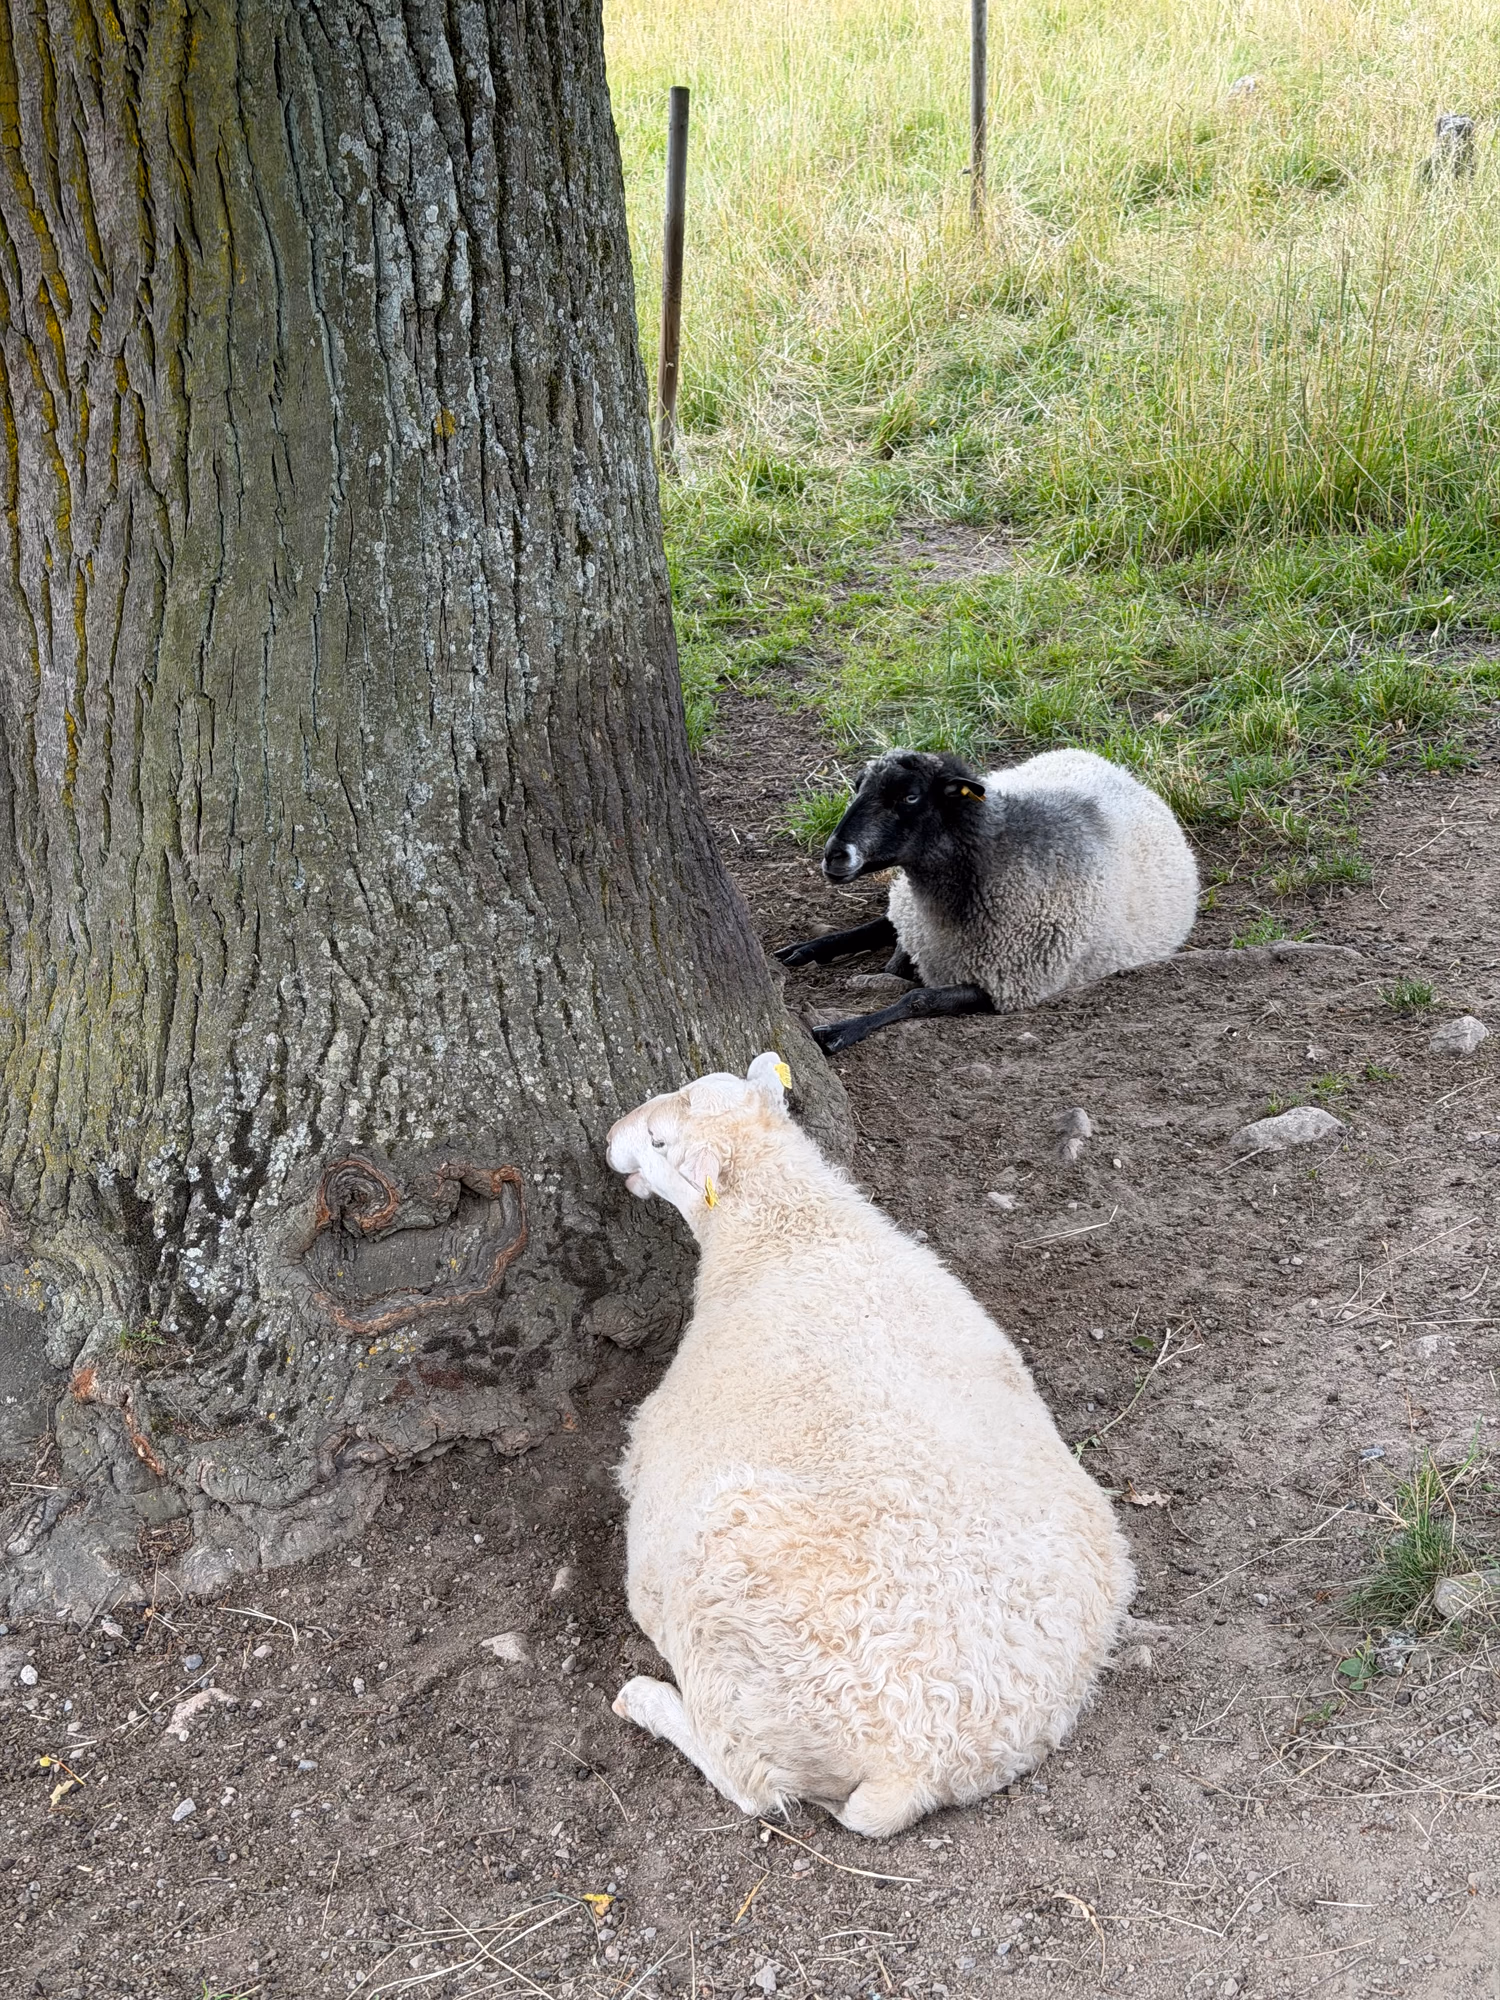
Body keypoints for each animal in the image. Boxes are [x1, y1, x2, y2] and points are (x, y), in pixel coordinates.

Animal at [606, 1051, 1135, 1838]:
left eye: (661, 1141)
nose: (611, 1135)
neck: (794, 1230)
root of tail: (924, 1764)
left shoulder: (656, 1436)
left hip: (727, 1616)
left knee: (751, 1781)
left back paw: (646, 1700)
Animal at [777, 747, 1198, 1054]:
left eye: (910, 797)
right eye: (857, 788)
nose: (834, 854)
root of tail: (1113, 767)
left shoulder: (1006, 983)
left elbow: (918, 999)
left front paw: (841, 1030)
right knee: (882, 924)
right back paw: (800, 951)